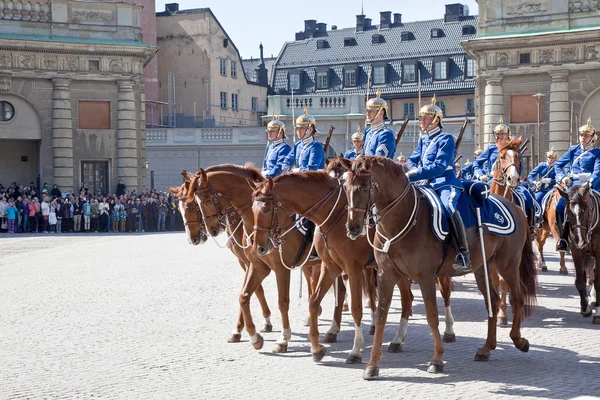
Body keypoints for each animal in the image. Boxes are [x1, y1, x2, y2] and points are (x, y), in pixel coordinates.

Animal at [168, 170, 274, 342]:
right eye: (178, 209)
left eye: (192, 207)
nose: (192, 239)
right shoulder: (245, 261)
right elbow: (254, 289)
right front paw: (257, 323)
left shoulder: (251, 261)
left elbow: (250, 289)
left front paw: (241, 328)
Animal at [188, 166, 330, 354]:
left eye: (204, 201)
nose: (210, 230)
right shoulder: (255, 265)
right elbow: (244, 295)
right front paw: (252, 336)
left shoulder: (280, 268)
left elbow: (282, 302)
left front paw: (283, 339)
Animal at [342, 155, 540, 378]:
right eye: (346, 187)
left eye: (364, 187)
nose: (352, 228)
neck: (404, 219)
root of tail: (516, 207)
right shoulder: (387, 276)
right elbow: (382, 317)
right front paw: (372, 364)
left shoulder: (425, 277)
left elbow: (432, 316)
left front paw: (437, 359)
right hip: (483, 268)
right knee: (493, 301)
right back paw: (487, 348)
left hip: (508, 264)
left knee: (517, 298)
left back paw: (519, 340)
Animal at [556, 183, 600, 324]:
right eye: (568, 213)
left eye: (586, 211)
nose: (579, 240)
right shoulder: (577, 252)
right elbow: (580, 281)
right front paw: (585, 308)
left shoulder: (599, 254)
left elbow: (598, 281)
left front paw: (598, 313)